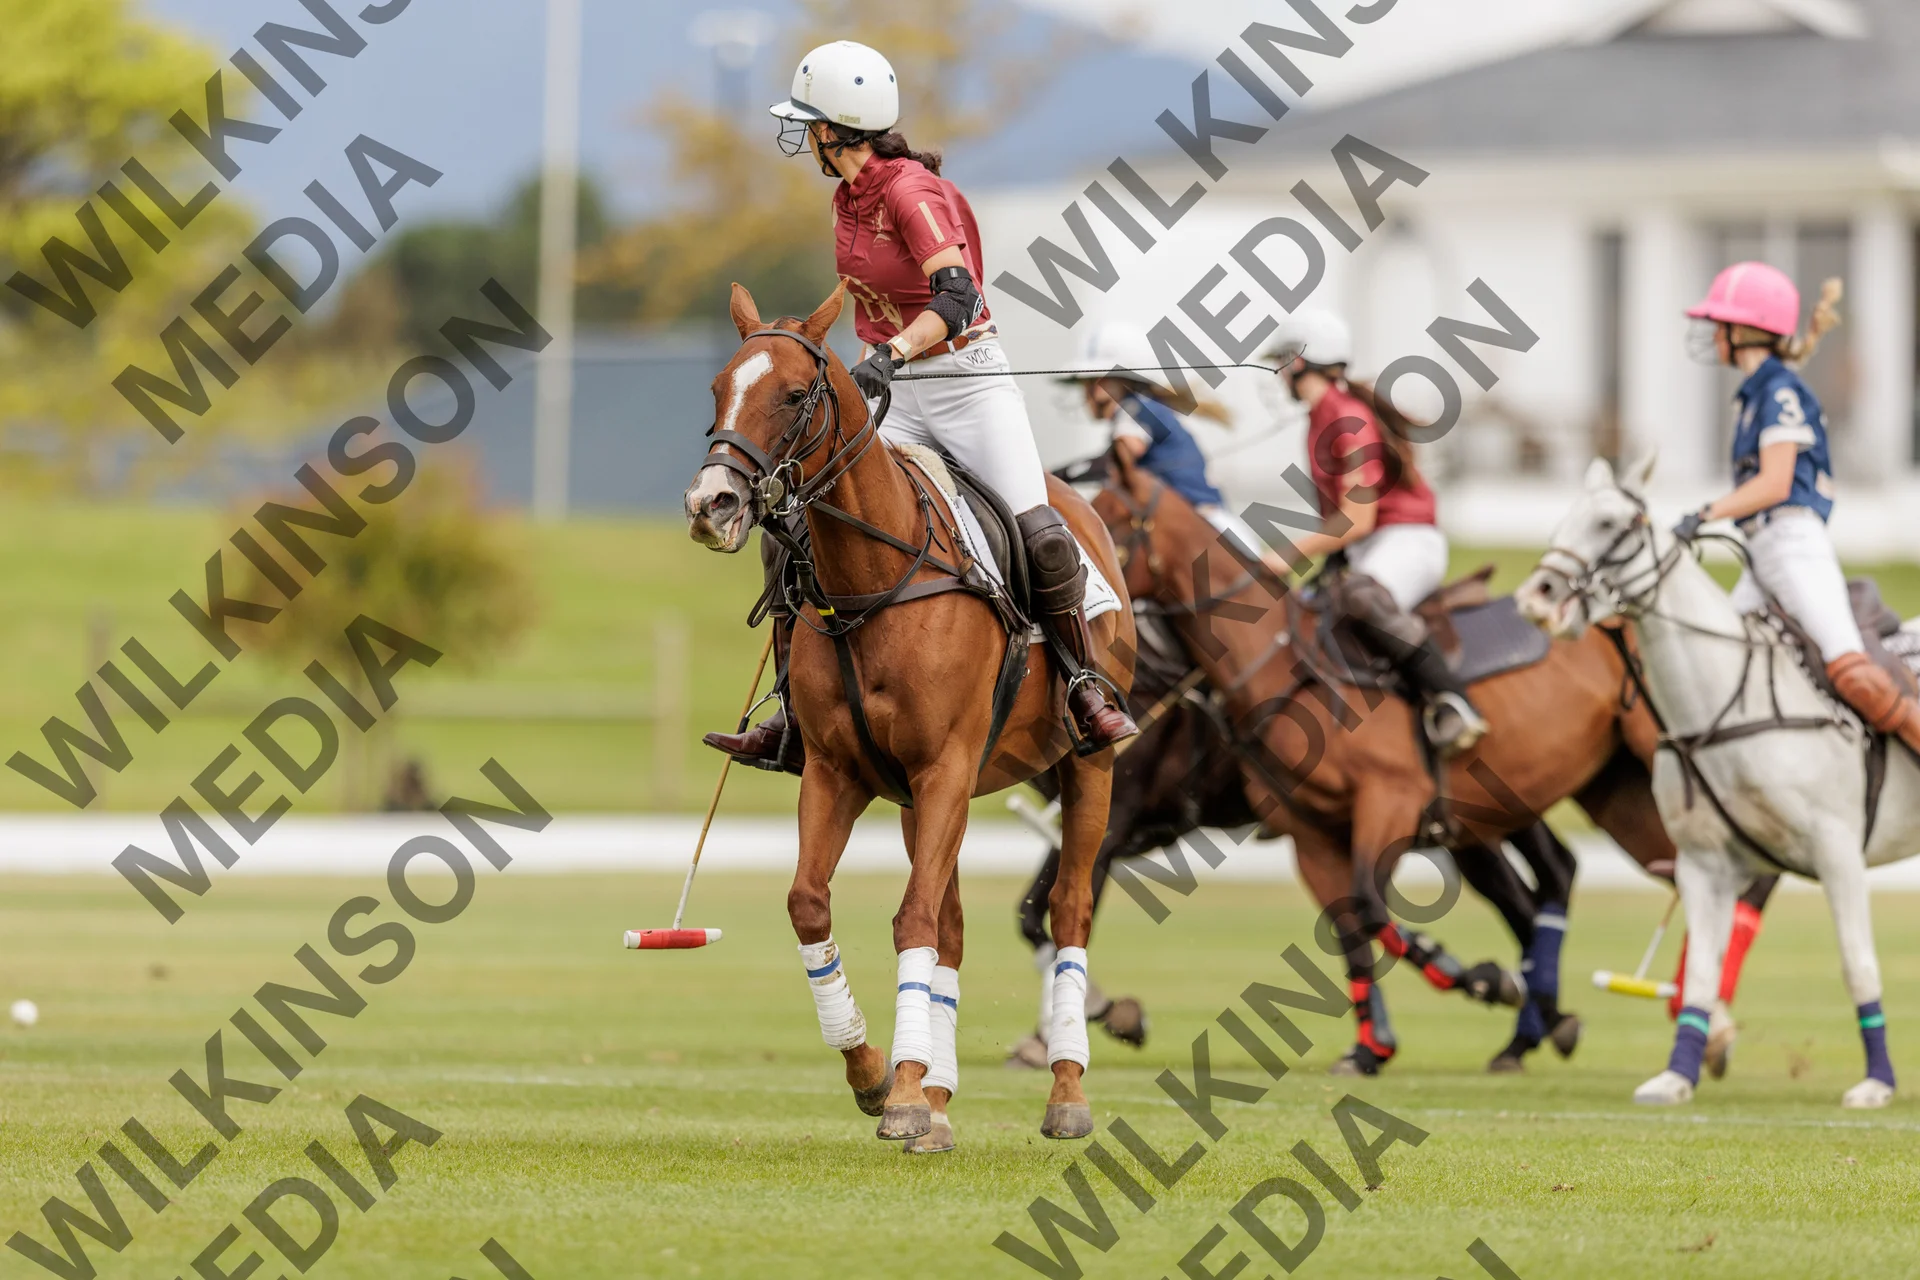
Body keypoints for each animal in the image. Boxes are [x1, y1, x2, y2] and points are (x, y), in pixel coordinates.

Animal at [682, 282, 1136, 1147]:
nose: (710, 504)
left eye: (795, 395)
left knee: (1069, 910)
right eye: (717, 388)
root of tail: (1079, 505)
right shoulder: (840, 772)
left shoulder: (944, 766)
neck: (872, 582)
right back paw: (939, 1098)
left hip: (1083, 766)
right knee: (954, 920)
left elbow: (914, 918)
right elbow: (811, 903)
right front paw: (875, 1076)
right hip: (919, 800)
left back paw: (1065, 1092)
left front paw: (899, 1094)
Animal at [1094, 446, 1690, 1072]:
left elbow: (1372, 908)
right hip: (1599, 792)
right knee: (1614, 871)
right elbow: (1353, 927)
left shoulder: (1392, 801)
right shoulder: (1311, 833)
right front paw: (1372, 1045)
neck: (1278, 665)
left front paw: (1483, 979)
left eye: (1110, 524)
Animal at [1516, 454, 1920, 1108]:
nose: (1537, 598)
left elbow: (1857, 963)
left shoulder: (1837, 850)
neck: (1722, 704)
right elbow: (1703, 974)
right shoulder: (1703, 863)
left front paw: (1877, 1083)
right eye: (1562, 521)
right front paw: (1676, 1076)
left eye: (1611, 523)